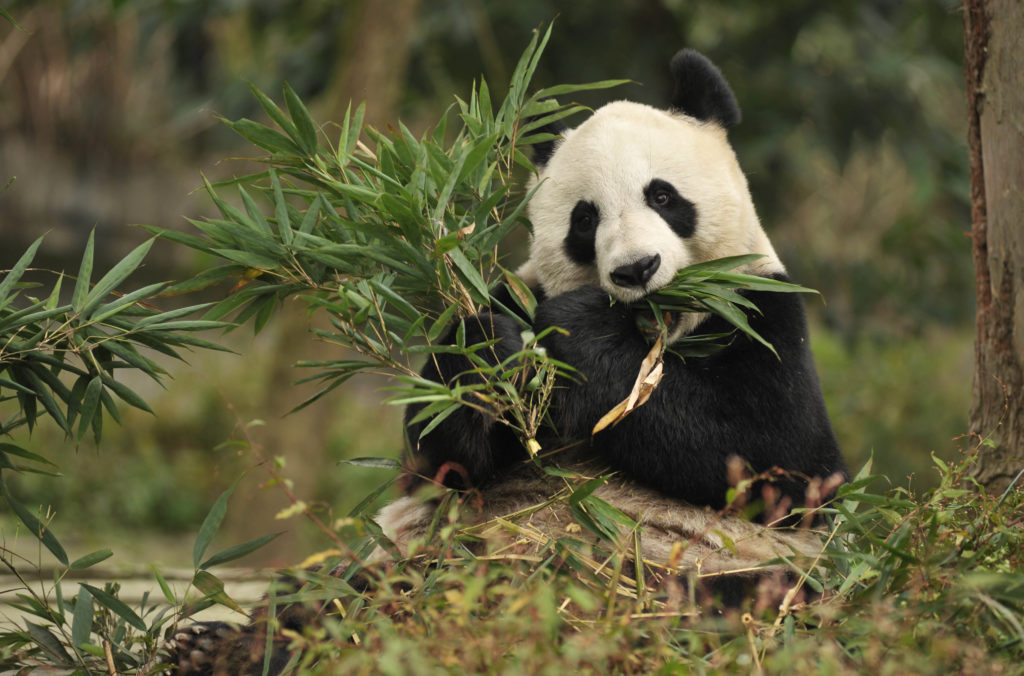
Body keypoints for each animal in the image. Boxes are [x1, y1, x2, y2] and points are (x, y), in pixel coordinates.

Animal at [401, 48, 847, 518]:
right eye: (584, 219)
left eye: (662, 196)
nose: (636, 269)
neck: (657, 343)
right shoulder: (520, 294)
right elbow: (439, 462)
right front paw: (488, 350)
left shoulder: (762, 309)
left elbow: (777, 457)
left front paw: (582, 325)